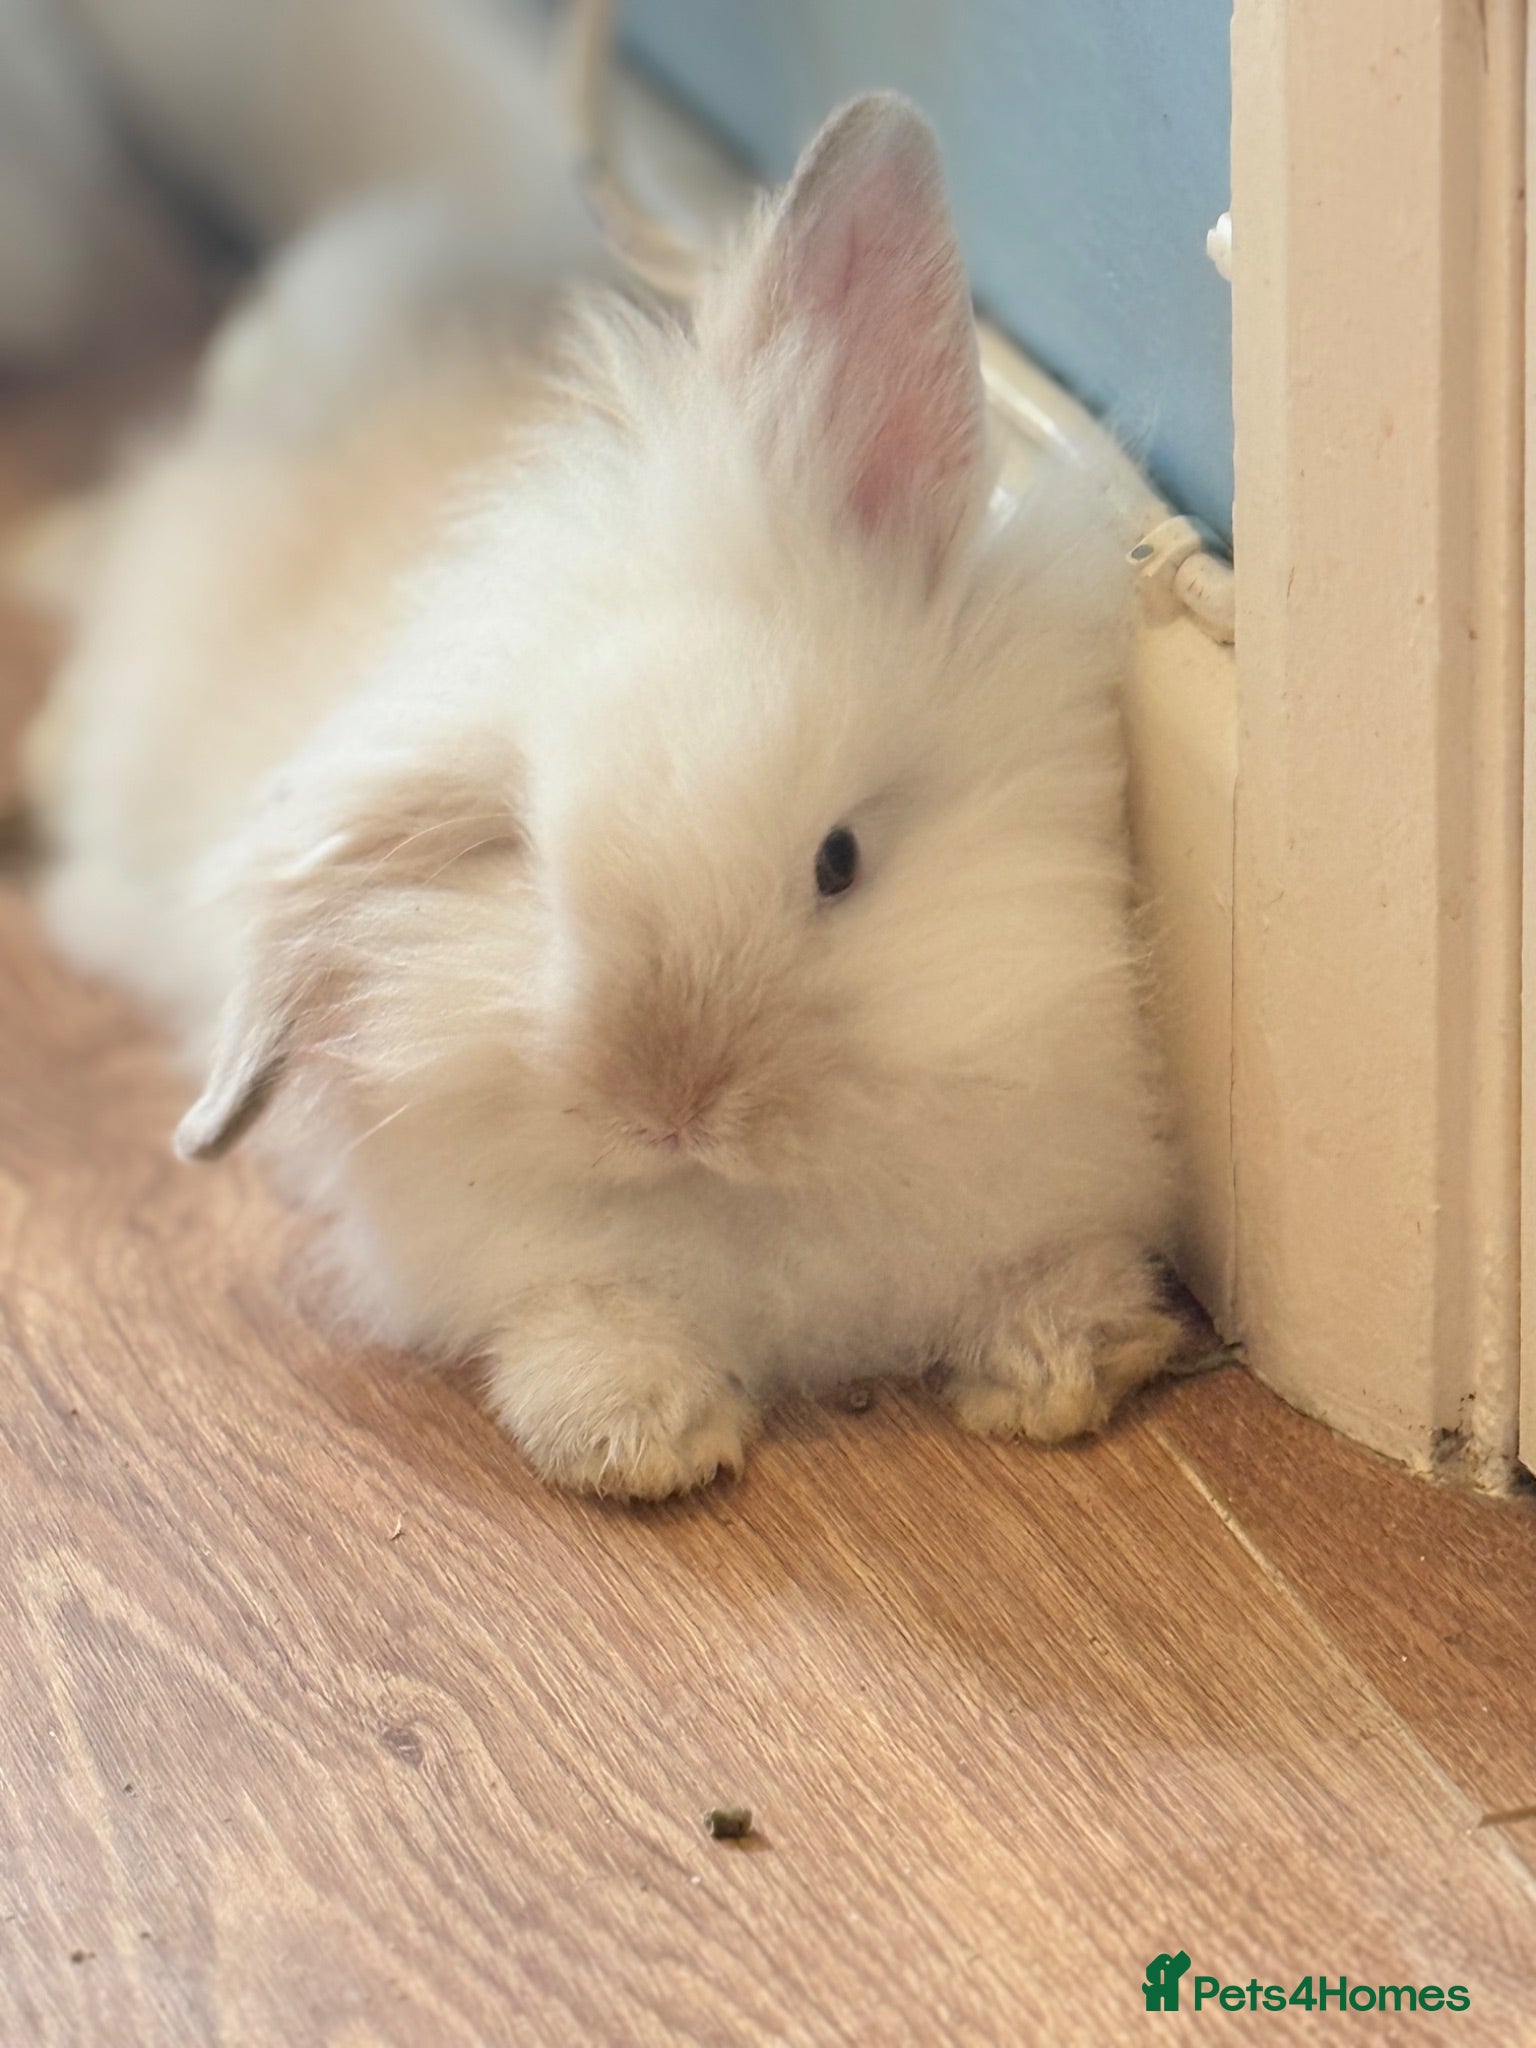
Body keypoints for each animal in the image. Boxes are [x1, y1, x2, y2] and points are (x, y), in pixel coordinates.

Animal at [26, 92, 1182, 1498]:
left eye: (839, 859)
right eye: (530, 858)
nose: (671, 1103)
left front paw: (1068, 1360)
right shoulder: (521, 1254)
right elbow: (580, 1310)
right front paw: (638, 1436)